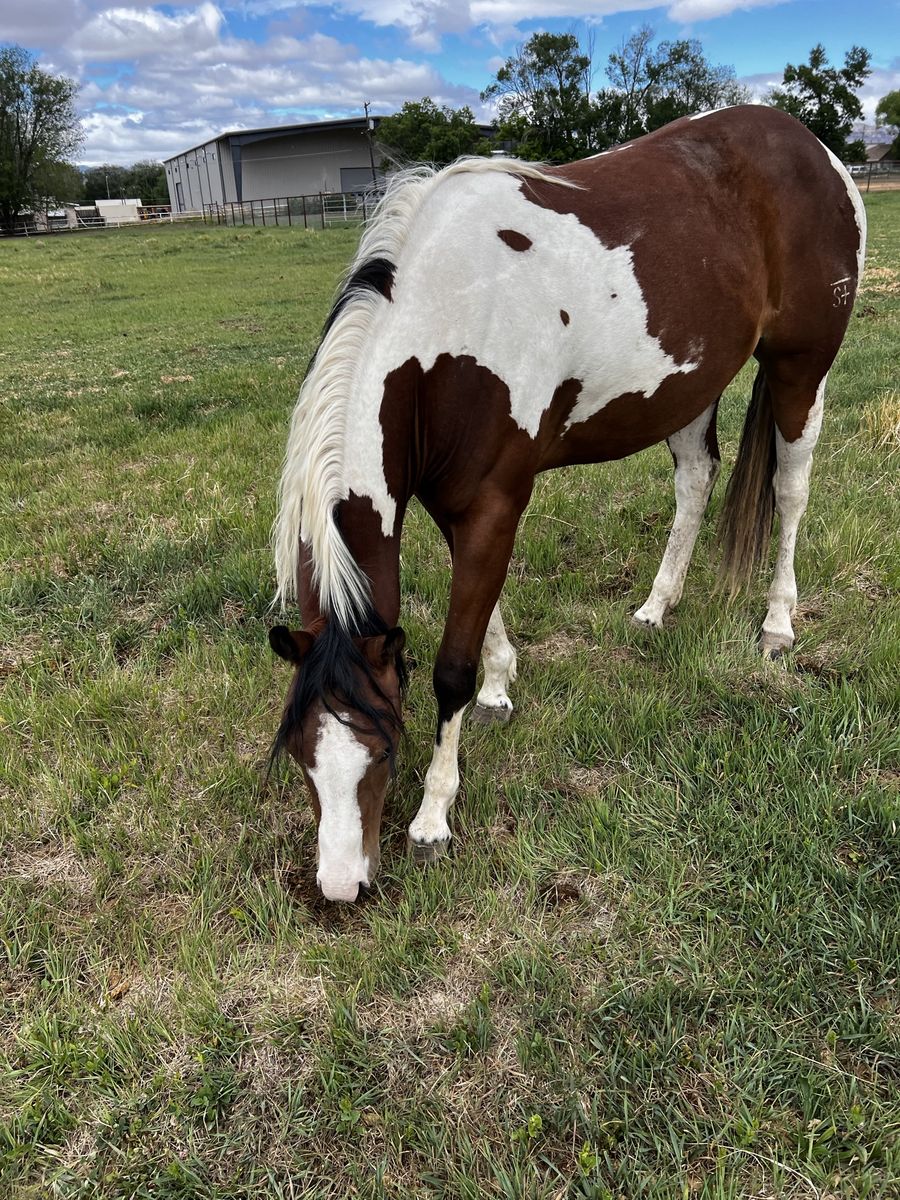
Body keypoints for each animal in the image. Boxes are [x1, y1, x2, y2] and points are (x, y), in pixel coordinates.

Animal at [267, 105, 866, 902]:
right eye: (303, 758)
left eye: (384, 750)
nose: (339, 887)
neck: (448, 330)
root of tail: (809, 144)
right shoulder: (452, 502)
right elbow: (483, 609)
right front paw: (499, 686)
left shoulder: (494, 501)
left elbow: (451, 666)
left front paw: (433, 816)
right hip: (690, 383)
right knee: (696, 479)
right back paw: (656, 606)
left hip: (802, 367)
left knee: (791, 488)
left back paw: (777, 623)